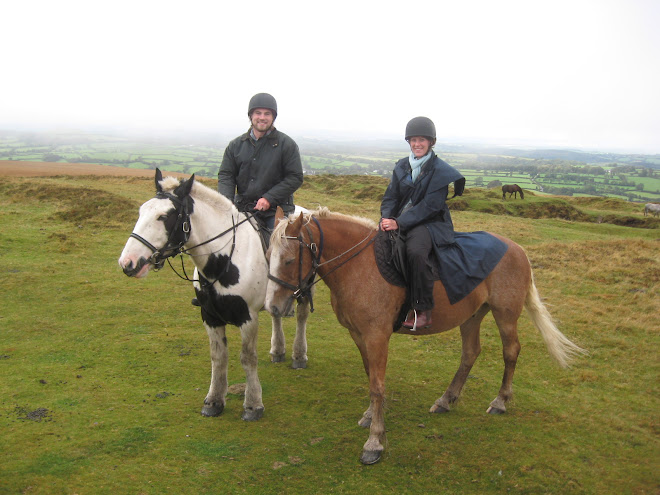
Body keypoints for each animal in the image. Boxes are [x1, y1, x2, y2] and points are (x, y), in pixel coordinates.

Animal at [119, 170, 312, 422]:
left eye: (164, 216)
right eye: (142, 211)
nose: (128, 262)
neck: (225, 258)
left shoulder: (247, 318)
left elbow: (247, 358)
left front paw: (253, 405)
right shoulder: (209, 317)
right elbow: (218, 357)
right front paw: (214, 400)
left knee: (301, 318)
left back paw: (299, 356)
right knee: (276, 315)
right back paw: (277, 351)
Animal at [266, 205, 584, 464]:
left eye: (290, 261)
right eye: (268, 256)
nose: (273, 307)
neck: (359, 267)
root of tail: (517, 249)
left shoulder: (376, 336)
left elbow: (377, 385)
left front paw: (374, 441)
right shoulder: (359, 335)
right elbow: (370, 377)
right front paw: (370, 416)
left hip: (505, 315)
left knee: (511, 351)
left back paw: (500, 401)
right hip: (471, 316)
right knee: (470, 353)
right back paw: (446, 399)